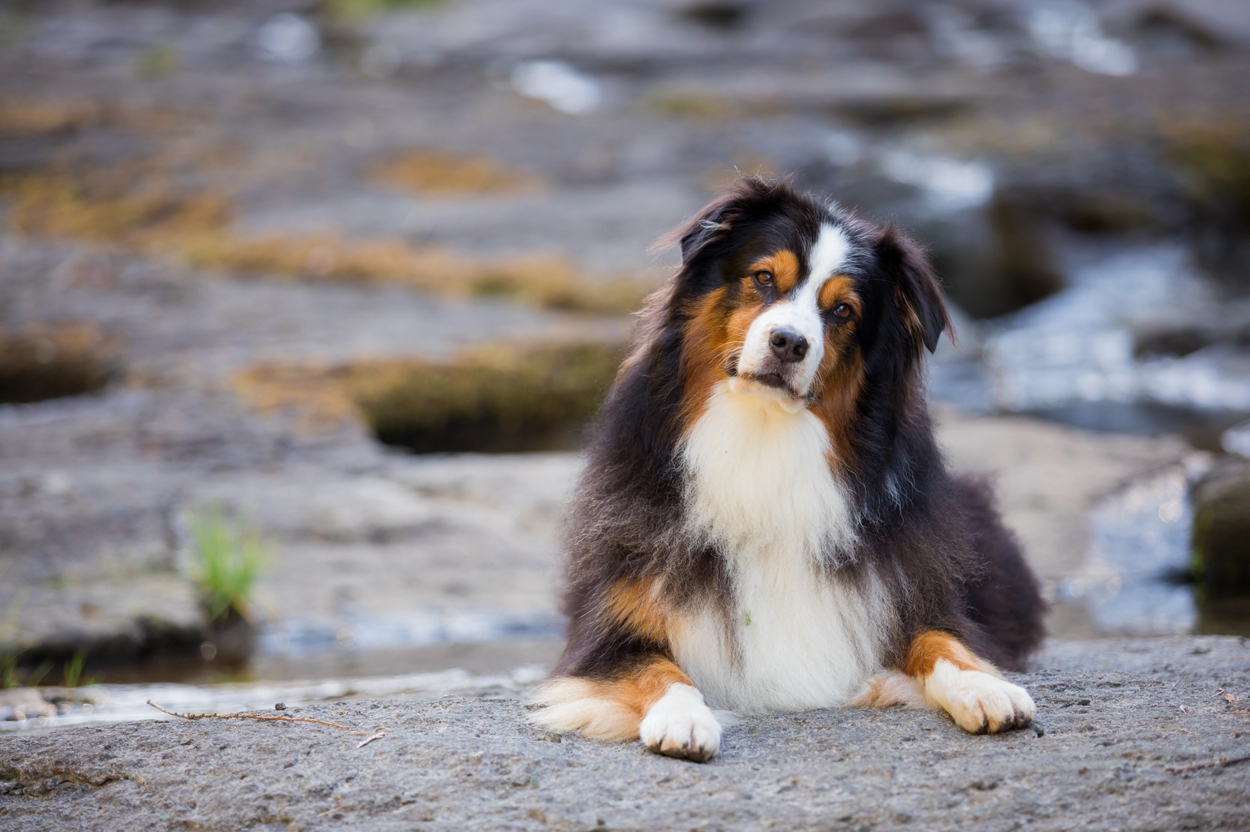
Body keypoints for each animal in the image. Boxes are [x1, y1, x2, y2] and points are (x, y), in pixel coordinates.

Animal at [527, 178, 1045, 759]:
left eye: (842, 310)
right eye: (763, 278)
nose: (789, 343)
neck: (761, 439)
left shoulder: (901, 591)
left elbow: (942, 638)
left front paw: (987, 687)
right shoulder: (609, 630)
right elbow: (658, 669)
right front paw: (684, 719)